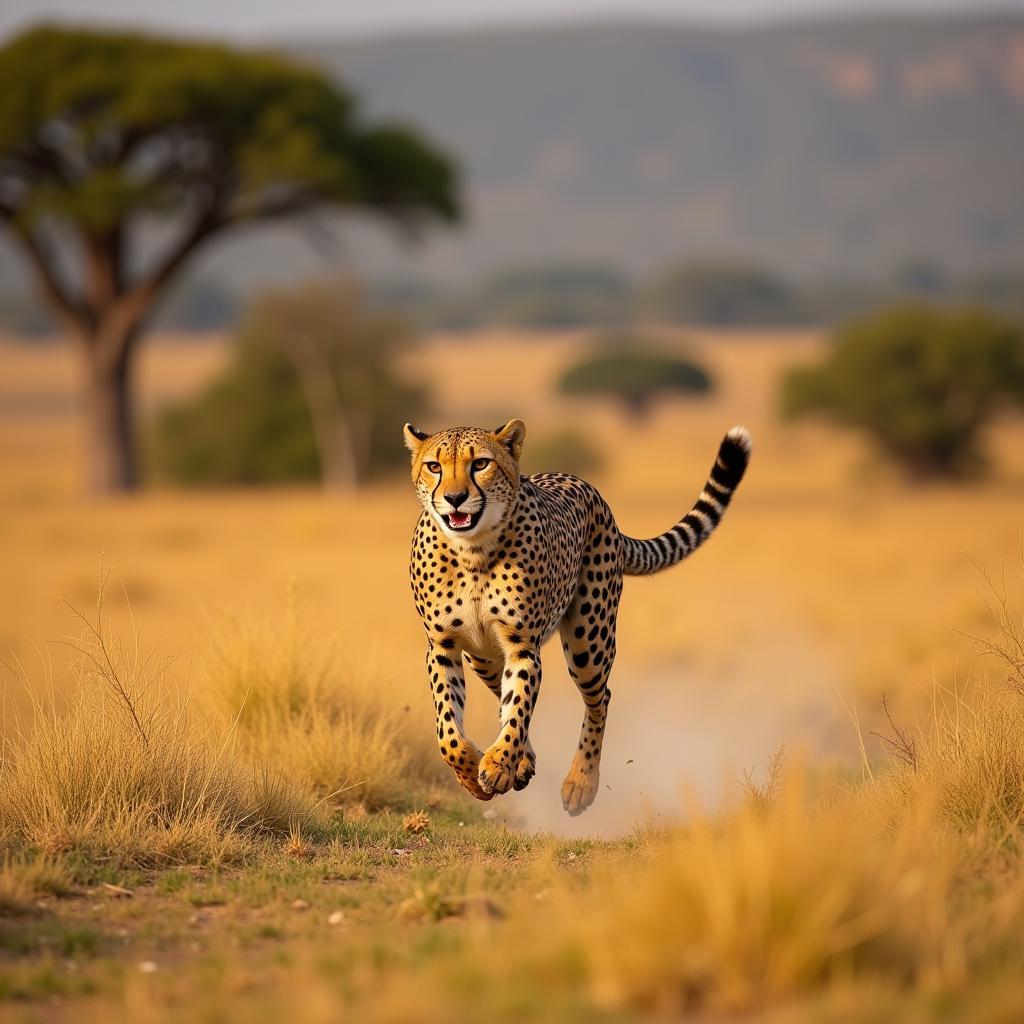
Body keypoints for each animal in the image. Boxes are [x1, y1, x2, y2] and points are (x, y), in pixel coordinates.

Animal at [403, 415, 749, 815]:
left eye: (480, 464)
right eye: (434, 467)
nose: (455, 498)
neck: (472, 550)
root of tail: (588, 488)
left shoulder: (523, 646)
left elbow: (518, 708)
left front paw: (497, 765)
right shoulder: (443, 645)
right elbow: (450, 733)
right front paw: (475, 773)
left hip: (590, 640)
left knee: (601, 699)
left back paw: (580, 783)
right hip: (483, 657)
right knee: (502, 694)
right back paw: (523, 762)